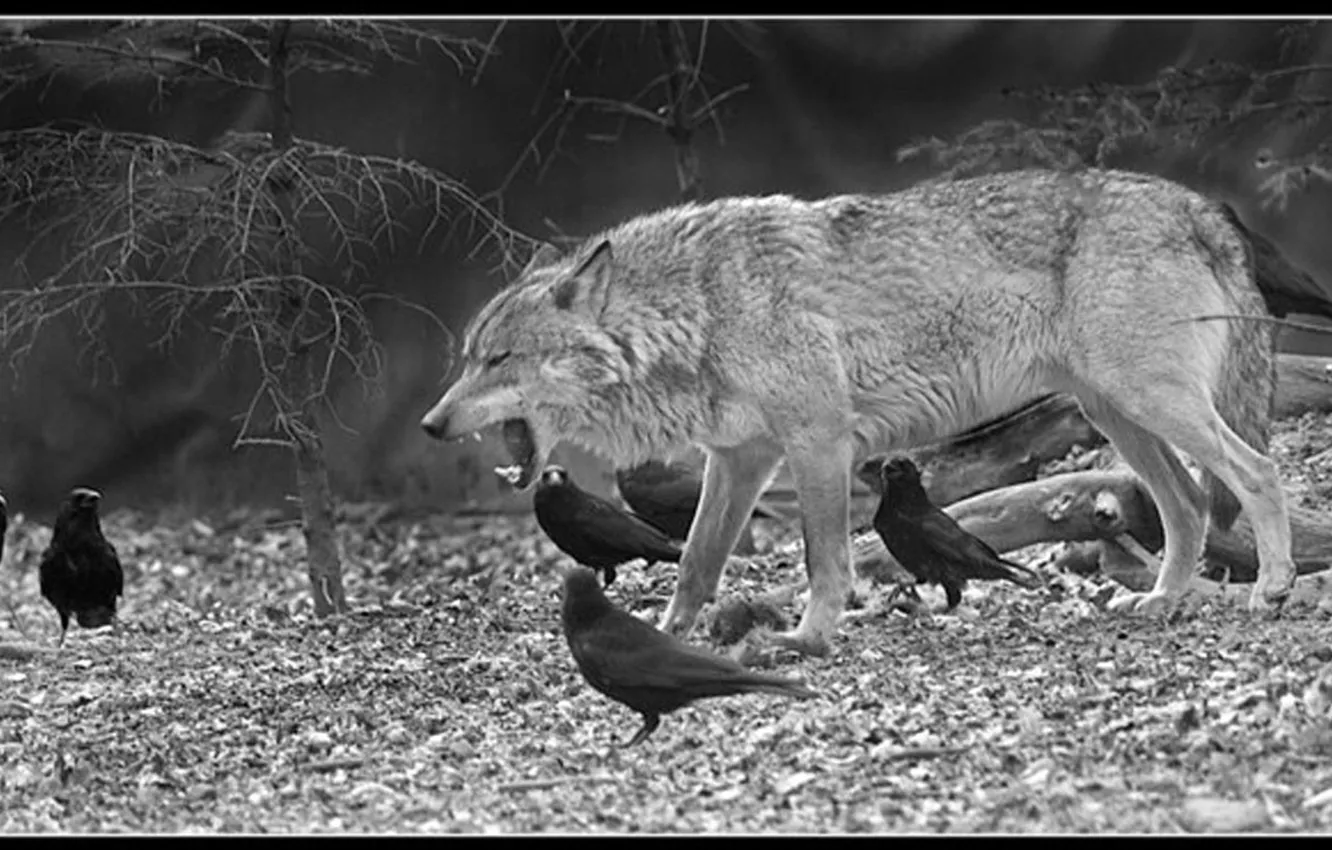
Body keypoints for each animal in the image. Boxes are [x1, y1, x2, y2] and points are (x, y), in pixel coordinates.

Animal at [421, 167, 1298, 658]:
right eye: (466, 357)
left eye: (499, 361)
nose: (429, 426)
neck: (700, 309)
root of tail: (1196, 203)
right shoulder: (739, 461)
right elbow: (698, 564)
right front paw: (665, 637)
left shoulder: (819, 441)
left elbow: (822, 561)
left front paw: (808, 640)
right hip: (1118, 413)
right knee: (1186, 506)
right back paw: (1163, 601)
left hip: (1154, 404)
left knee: (1258, 472)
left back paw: (1274, 589)